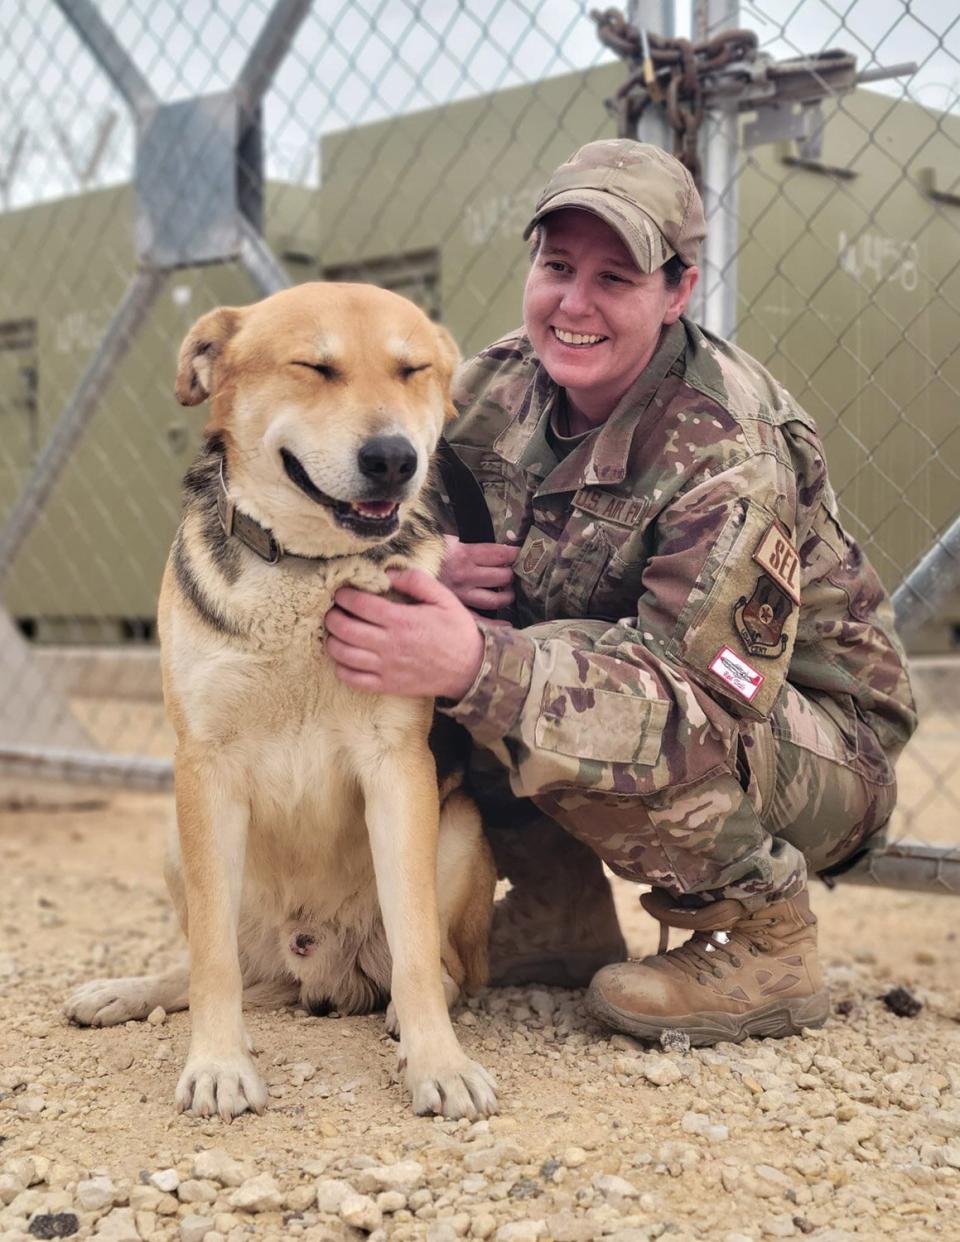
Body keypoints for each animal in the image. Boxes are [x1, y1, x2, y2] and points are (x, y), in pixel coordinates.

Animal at [66, 284, 499, 1127]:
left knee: (442, 964)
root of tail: (319, 969)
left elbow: (416, 944)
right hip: (174, 837)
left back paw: (403, 1009)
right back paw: (122, 993)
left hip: (459, 828)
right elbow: (211, 962)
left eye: (413, 370)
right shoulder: (204, 767)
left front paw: (439, 1062)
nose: (395, 459)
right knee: (218, 959)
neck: (308, 570)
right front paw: (217, 1064)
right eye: (314, 367)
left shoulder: (398, 767)